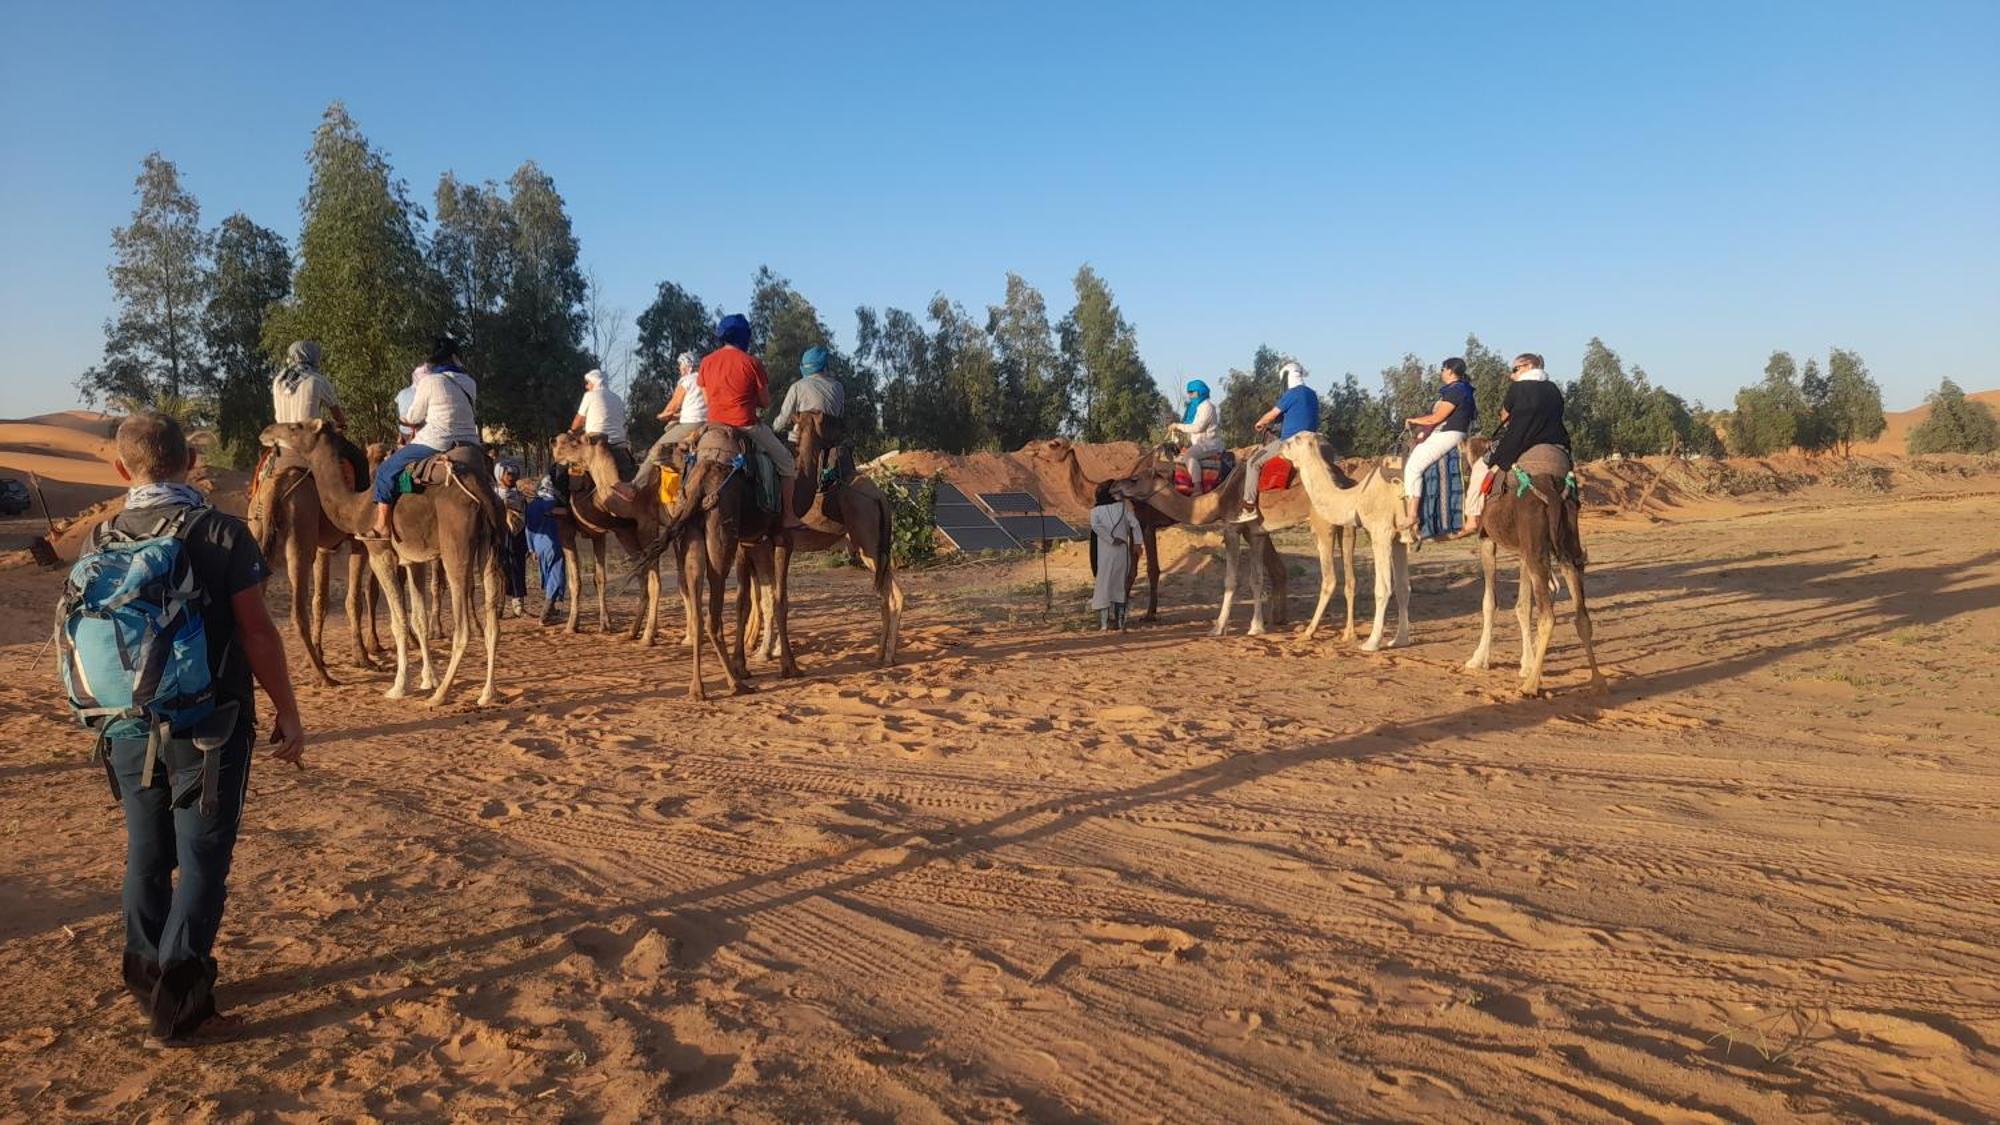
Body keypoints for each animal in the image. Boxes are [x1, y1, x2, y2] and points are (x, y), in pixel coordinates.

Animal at [260, 418, 504, 700]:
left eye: (296, 427)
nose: (267, 432)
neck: (358, 506)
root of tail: (482, 493)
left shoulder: (379, 552)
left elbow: (399, 622)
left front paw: (399, 686)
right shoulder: (413, 560)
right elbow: (418, 619)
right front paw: (427, 679)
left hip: (456, 548)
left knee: (463, 627)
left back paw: (441, 695)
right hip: (490, 549)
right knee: (493, 624)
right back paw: (487, 693)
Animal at [548, 428, 664, 640]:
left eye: (576, 442)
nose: (554, 443)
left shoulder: (565, 529)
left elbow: (575, 580)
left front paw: (571, 626)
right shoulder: (598, 534)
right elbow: (599, 578)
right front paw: (605, 624)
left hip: (633, 531)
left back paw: (646, 633)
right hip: (631, 532)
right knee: (643, 573)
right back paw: (639, 631)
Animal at [1280, 428, 1424, 648]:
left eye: (1296, 439)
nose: (1280, 446)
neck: (1356, 497)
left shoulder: (1380, 532)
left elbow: (1382, 588)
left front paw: (1371, 643)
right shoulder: (1397, 538)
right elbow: (1402, 588)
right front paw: (1400, 640)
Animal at [1456, 456, 1608, 692]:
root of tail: (1553, 495)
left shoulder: (1487, 539)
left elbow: (1491, 603)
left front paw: (1479, 659)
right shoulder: (1522, 550)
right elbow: (1524, 605)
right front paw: (1526, 661)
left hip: (1535, 548)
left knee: (1548, 616)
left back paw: (1530, 685)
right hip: (1566, 545)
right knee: (1580, 611)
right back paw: (1598, 680)